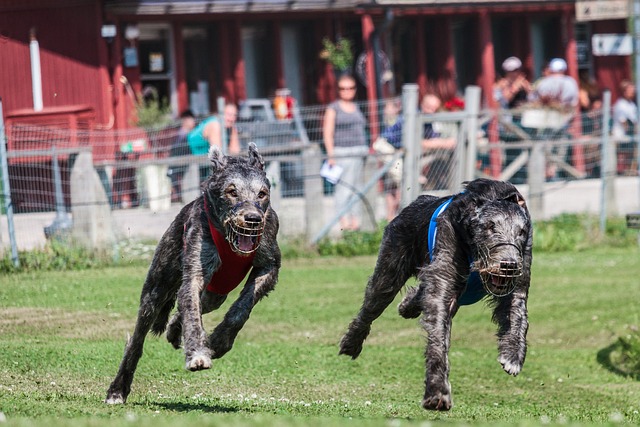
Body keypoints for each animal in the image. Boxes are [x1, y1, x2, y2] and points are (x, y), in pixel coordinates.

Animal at [105, 143, 280, 404]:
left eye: (262, 193)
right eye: (232, 191)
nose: (252, 219)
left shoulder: (268, 264)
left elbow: (242, 307)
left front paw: (219, 341)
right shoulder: (196, 267)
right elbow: (191, 310)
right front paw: (197, 353)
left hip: (216, 293)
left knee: (191, 306)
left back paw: (174, 331)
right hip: (157, 287)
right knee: (139, 337)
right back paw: (118, 389)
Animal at [340, 178, 536, 412]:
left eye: (521, 231)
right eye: (490, 226)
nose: (509, 265)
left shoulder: (522, 264)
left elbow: (518, 311)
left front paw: (513, 355)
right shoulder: (448, 253)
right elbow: (438, 326)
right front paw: (437, 392)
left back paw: (408, 305)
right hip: (393, 257)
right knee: (376, 300)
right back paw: (352, 342)